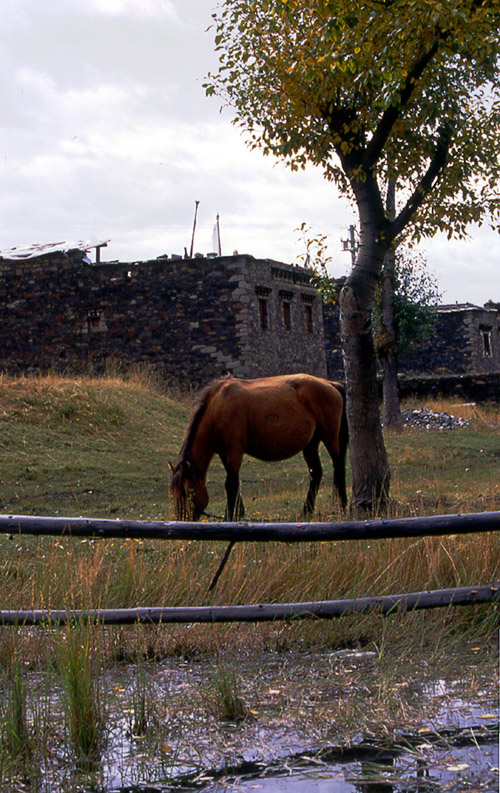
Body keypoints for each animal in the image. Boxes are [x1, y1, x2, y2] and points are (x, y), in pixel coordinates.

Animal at [171, 374, 348, 524]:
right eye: (173, 492)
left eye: (187, 492)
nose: (181, 520)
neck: (218, 408)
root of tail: (331, 384)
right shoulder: (223, 453)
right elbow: (234, 482)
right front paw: (238, 512)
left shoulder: (234, 450)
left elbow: (231, 483)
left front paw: (230, 516)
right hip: (310, 444)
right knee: (316, 473)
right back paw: (306, 511)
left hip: (330, 439)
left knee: (339, 467)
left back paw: (343, 506)